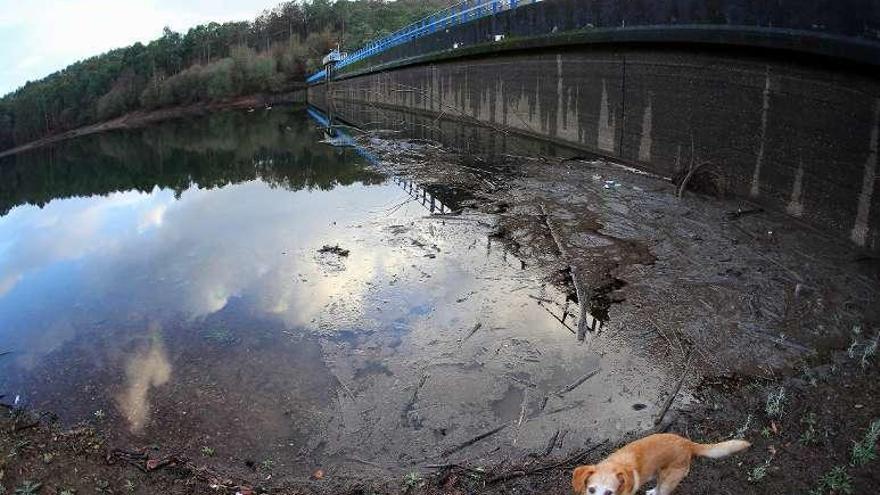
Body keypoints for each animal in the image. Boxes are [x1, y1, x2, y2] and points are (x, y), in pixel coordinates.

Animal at [572, 434, 748, 495]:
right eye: (591, 489)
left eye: (609, 493)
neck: (614, 465)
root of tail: (688, 443)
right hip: (660, 474)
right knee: (657, 486)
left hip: (668, 482)